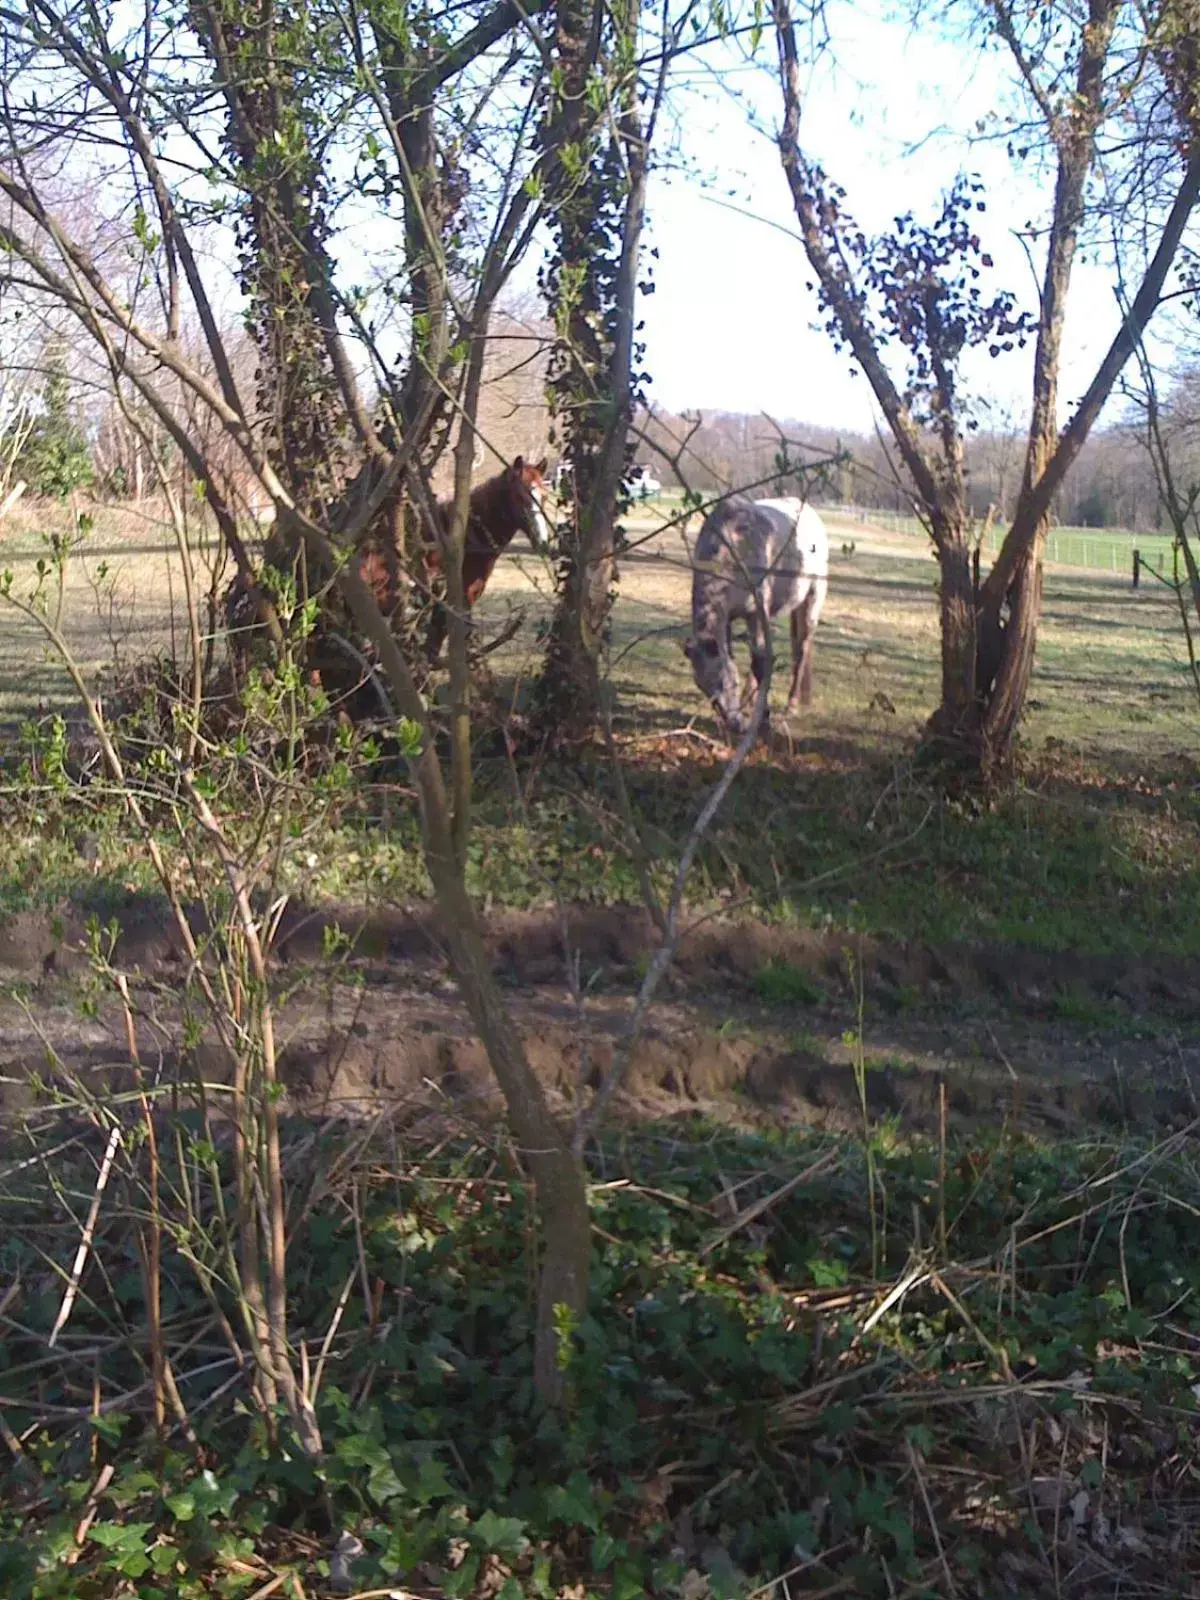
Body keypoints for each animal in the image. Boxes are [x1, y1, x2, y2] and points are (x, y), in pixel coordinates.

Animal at [684, 492, 825, 736]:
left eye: (726, 682)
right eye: (702, 686)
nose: (735, 725)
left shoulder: (757, 614)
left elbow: (760, 663)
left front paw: (764, 721)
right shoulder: (727, 619)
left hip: (811, 601)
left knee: (802, 649)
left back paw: (792, 704)